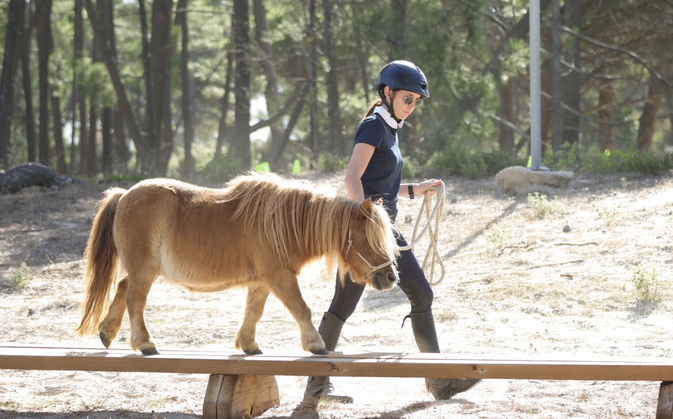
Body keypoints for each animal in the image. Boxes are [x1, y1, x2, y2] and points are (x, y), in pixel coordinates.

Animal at [77, 172, 400, 356]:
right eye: (369, 239)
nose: (391, 277)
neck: (282, 223)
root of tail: (124, 196)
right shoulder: (280, 277)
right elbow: (301, 308)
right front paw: (315, 344)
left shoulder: (262, 282)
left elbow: (253, 312)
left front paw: (249, 345)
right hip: (144, 271)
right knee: (135, 300)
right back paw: (144, 344)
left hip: (142, 270)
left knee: (122, 289)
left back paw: (107, 332)